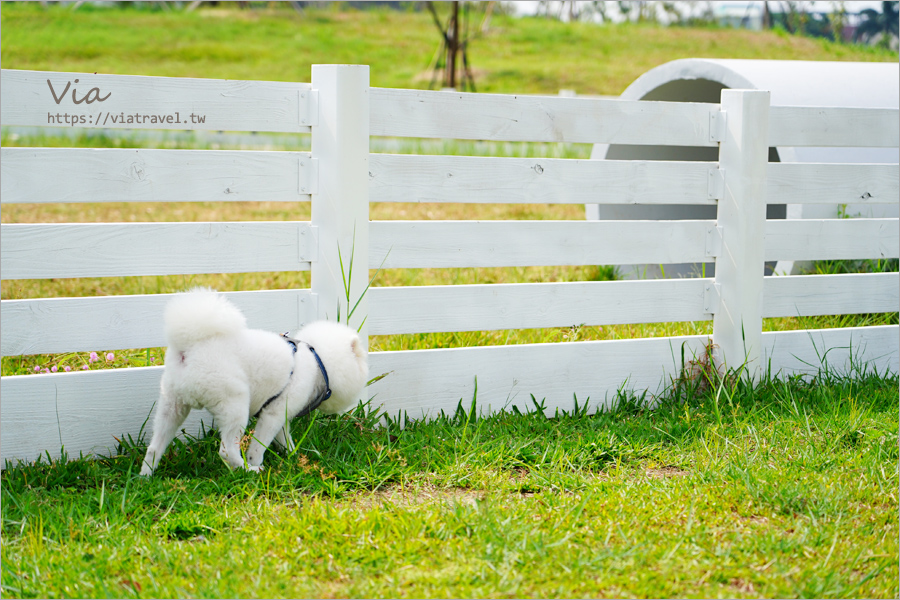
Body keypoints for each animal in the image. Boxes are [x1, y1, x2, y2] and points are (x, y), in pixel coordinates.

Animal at [139, 288, 368, 476]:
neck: (317, 359)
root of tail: (191, 346)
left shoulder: (281, 413)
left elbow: (284, 438)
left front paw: (292, 455)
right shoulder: (273, 414)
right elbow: (259, 445)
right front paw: (257, 461)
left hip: (172, 405)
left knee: (154, 447)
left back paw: (145, 476)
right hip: (234, 404)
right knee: (226, 450)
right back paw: (247, 470)